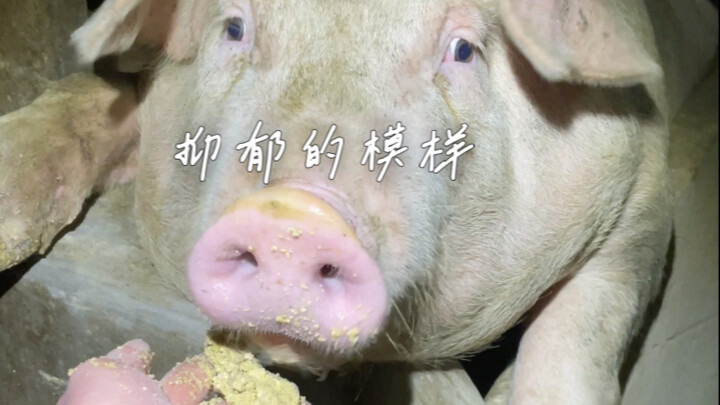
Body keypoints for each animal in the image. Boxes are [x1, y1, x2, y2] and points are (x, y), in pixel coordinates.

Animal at [1, 0, 718, 403]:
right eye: (233, 28)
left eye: (463, 49)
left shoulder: (638, 201)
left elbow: (577, 337)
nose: (295, 214)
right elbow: (98, 98)